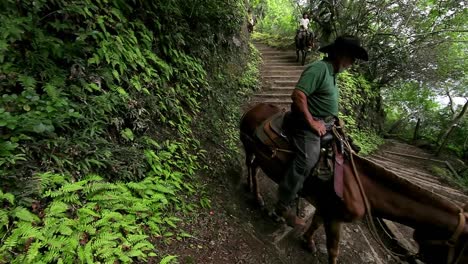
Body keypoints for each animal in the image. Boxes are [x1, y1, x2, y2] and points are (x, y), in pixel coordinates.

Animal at [239, 102, 468, 264]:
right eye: (459, 248)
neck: (363, 188)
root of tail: (255, 108)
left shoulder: (327, 207)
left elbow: (316, 223)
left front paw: (308, 241)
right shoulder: (336, 218)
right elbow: (333, 249)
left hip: (261, 155)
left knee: (253, 166)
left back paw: (252, 190)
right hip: (251, 147)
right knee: (251, 166)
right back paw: (257, 198)